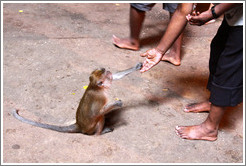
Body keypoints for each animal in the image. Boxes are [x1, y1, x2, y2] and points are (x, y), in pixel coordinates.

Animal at [12, 62, 143, 135]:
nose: (109, 72)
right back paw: (99, 133)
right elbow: (97, 113)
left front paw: (136, 67)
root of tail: (79, 125)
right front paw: (117, 104)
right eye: (107, 74)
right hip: (90, 129)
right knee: (100, 118)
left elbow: (117, 77)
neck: (96, 87)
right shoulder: (100, 97)